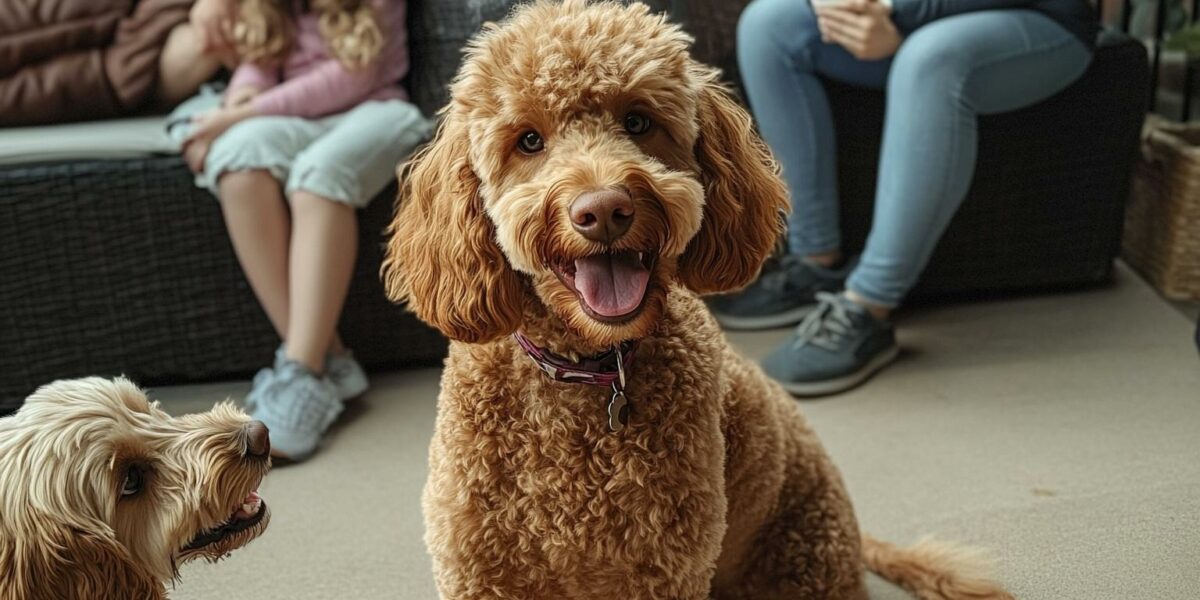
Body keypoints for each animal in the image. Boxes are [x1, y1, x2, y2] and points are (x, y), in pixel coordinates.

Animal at [381, 1, 1012, 600]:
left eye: (638, 121)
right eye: (529, 140)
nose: (604, 209)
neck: (585, 368)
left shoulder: (663, 567)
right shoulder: (479, 566)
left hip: (802, 558)